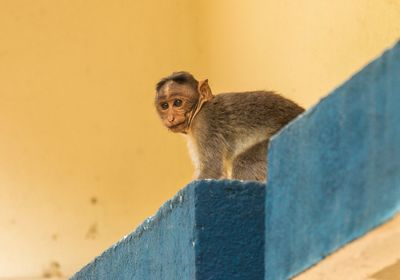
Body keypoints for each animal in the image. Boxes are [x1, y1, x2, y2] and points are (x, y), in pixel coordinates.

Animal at [154, 71, 304, 182]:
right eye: (165, 106)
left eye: (177, 103)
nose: (170, 118)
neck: (199, 109)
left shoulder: (204, 123)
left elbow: (212, 169)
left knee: (244, 163)